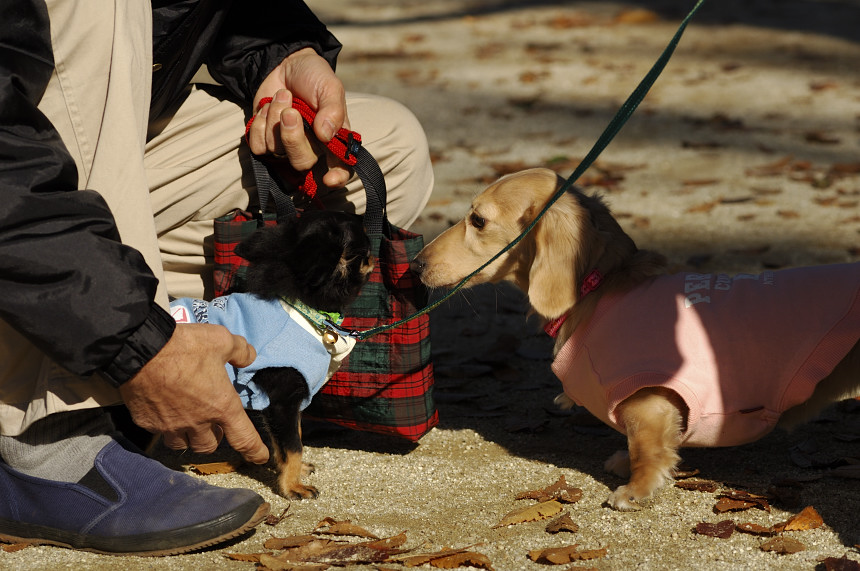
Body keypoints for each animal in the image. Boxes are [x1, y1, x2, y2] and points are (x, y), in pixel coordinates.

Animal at [233, 209, 372, 496]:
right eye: (365, 250)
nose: (375, 255)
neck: (304, 311)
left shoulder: (282, 404)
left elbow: (287, 440)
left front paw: (291, 472)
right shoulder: (283, 401)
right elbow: (293, 445)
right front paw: (293, 486)